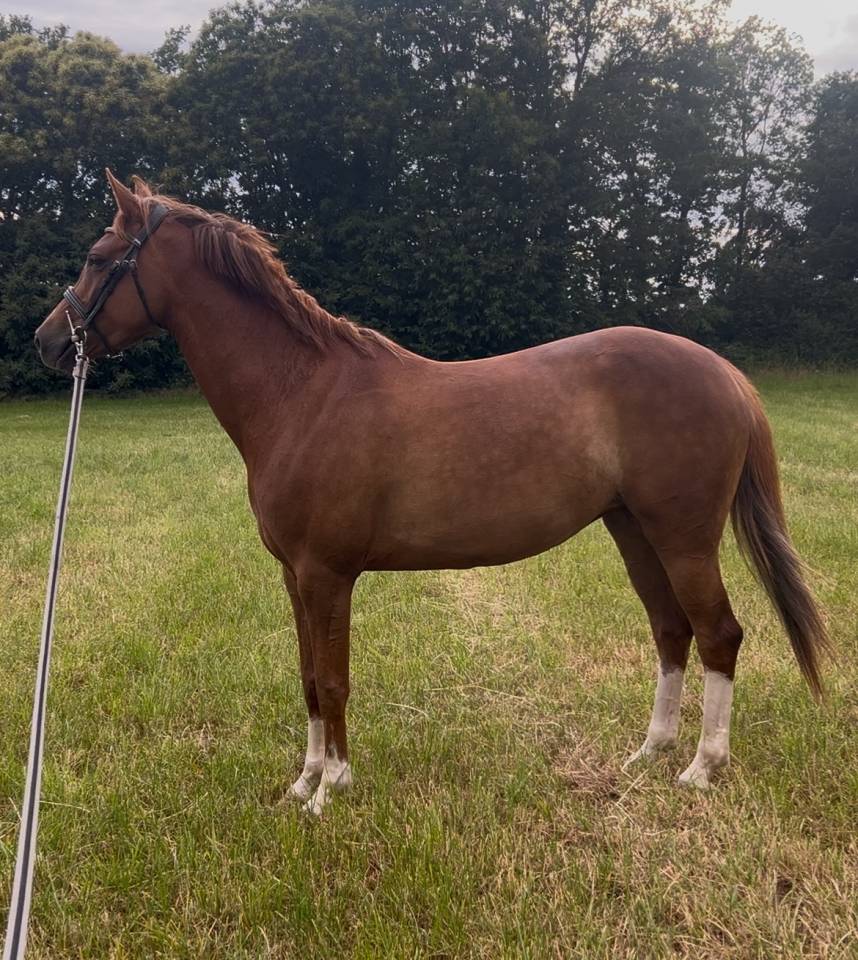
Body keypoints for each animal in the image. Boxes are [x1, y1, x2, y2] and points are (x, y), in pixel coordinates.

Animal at [34, 170, 828, 816]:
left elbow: (335, 679)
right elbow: (309, 678)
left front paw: (331, 789)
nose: (48, 342)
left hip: (683, 537)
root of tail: (725, 373)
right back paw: (649, 753)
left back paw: (701, 768)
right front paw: (303, 779)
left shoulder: (327, 575)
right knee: (671, 630)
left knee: (719, 633)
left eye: (99, 259)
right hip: (633, 529)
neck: (303, 394)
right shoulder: (294, 576)